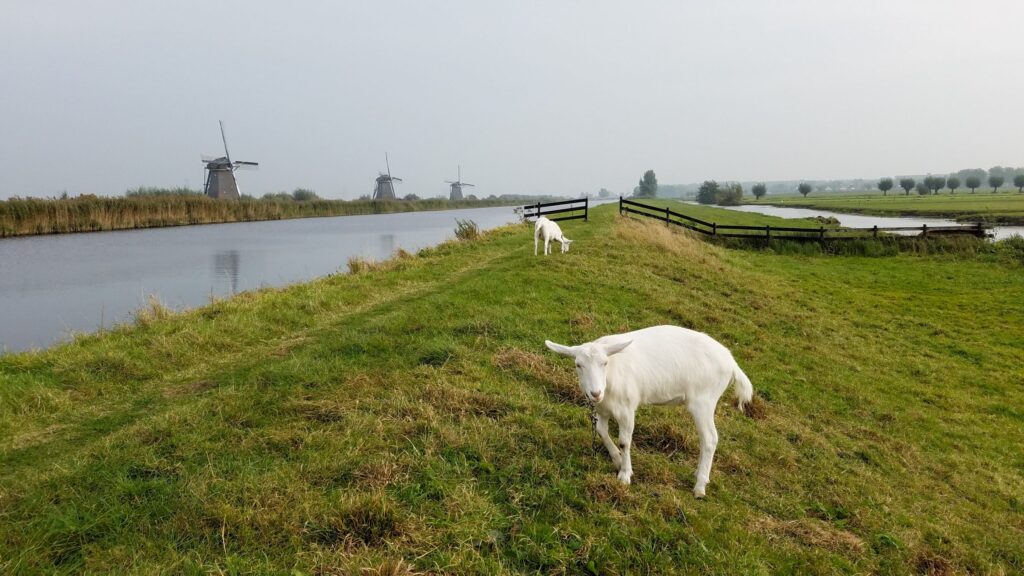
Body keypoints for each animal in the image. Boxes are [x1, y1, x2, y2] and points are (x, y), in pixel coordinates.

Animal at [545, 325, 753, 497]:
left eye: (605, 363)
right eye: (578, 365)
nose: (595, 393)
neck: (611, 376)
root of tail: (731, 362)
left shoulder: (626, 409)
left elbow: (624, 442)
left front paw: (625, 475)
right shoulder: (602, 409)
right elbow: (601, 431)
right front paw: (617, 460)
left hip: (704, 400)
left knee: (710, 438)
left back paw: (700, 487)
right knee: (705, 439)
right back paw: (699, 475)